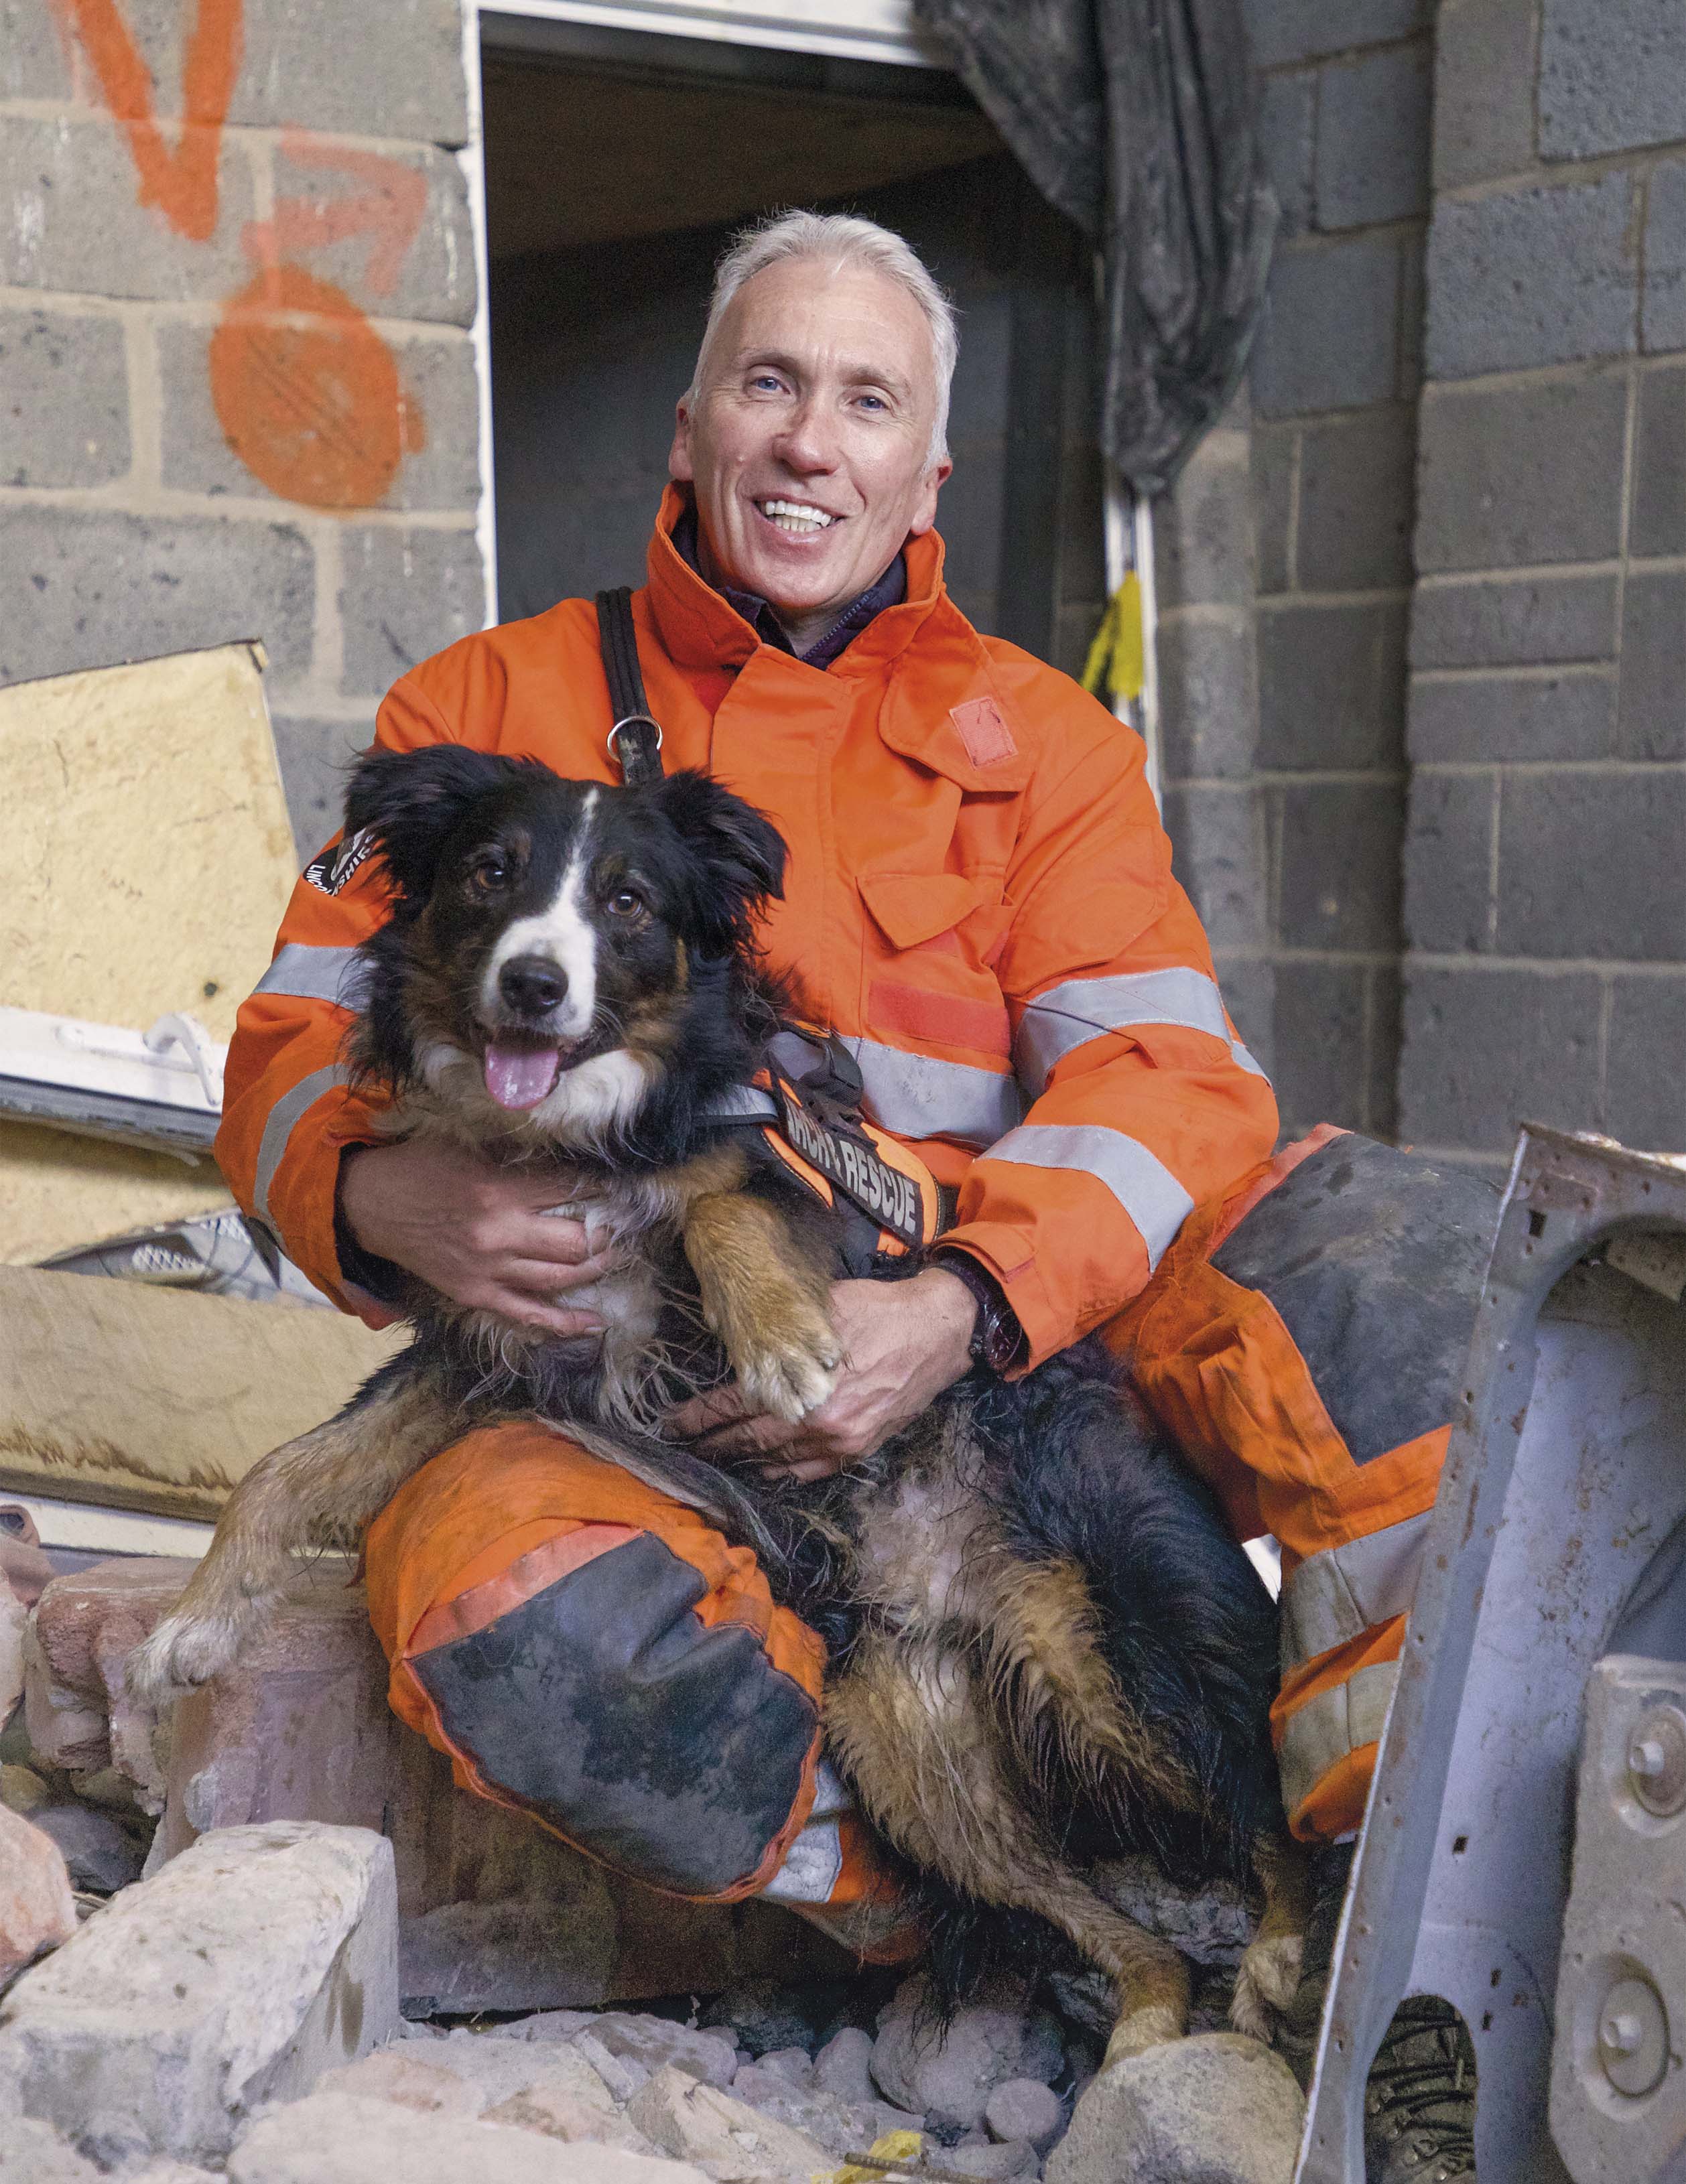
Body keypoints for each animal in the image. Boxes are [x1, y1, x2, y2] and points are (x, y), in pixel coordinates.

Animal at [138, 742, 1310, 2053]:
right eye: (491, 871)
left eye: (628, 901)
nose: (535, 984)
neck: (574, 1130)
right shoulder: (486, 1345)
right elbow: (284, 1466)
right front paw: (194, 1623)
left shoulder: (795, 1181)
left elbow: (721, 1200)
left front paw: (785, 1342)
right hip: (914, 1749)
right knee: (1125, 1929)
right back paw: (1145, 2036)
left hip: (1113, 1647)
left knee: (1267, 1804)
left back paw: (1276, 1950)